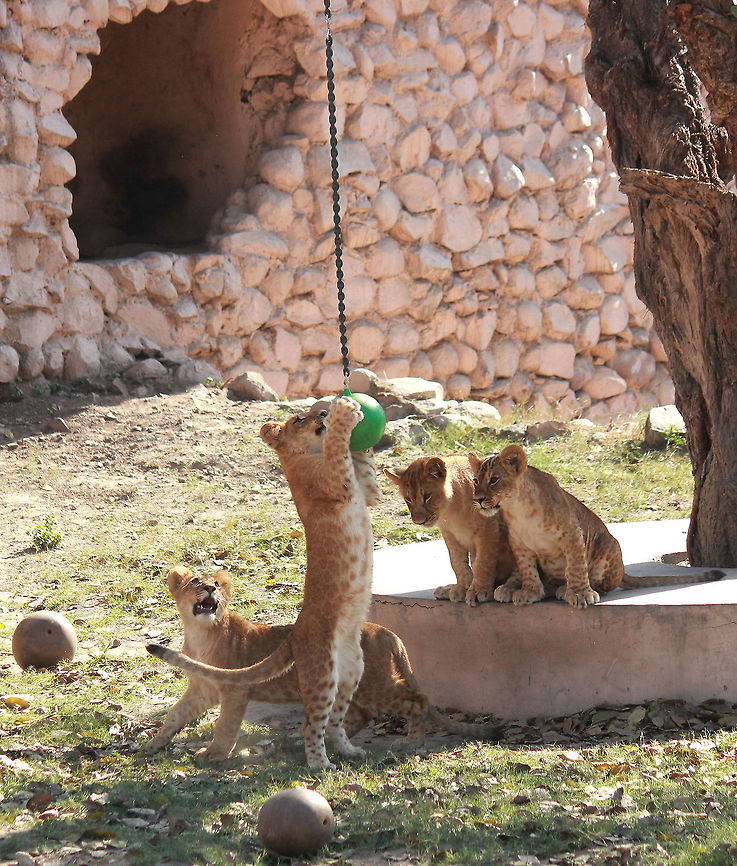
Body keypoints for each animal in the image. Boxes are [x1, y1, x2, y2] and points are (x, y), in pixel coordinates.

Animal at [145, 566, 503, 756]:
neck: (200, 635)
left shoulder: (235, 690)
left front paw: (213, 753)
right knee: (358, 715)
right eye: (196, 582)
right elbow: (176, 714)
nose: (209, 589)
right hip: (356, 686)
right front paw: (153, 744)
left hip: (377, 684)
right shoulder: (203, 688)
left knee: (418, 700)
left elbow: (226, 724)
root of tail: (387, 631)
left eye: (217, 584)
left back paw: (413, 743)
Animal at [384, 456, 516, 606]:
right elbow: (457, 563)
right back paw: (446, 589)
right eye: (408, 499)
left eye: (427, 496)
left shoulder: (489, 528)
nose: (419, 521)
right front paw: (462, 589)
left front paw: (478, 591)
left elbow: (482, 563)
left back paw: (507, 590)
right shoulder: (450, 535)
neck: (451, 510)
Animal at [469, 445, 723, 609]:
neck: (518, 508)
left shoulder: (573, 534)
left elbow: (576, 567)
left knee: (602, 584)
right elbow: (528, 571)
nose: (478, 499)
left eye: (494, 480)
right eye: (475, 481)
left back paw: (564, 590)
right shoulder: (520, 546)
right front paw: (530, 592)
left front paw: (580, 594)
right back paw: (507, 589)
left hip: (608, 545)